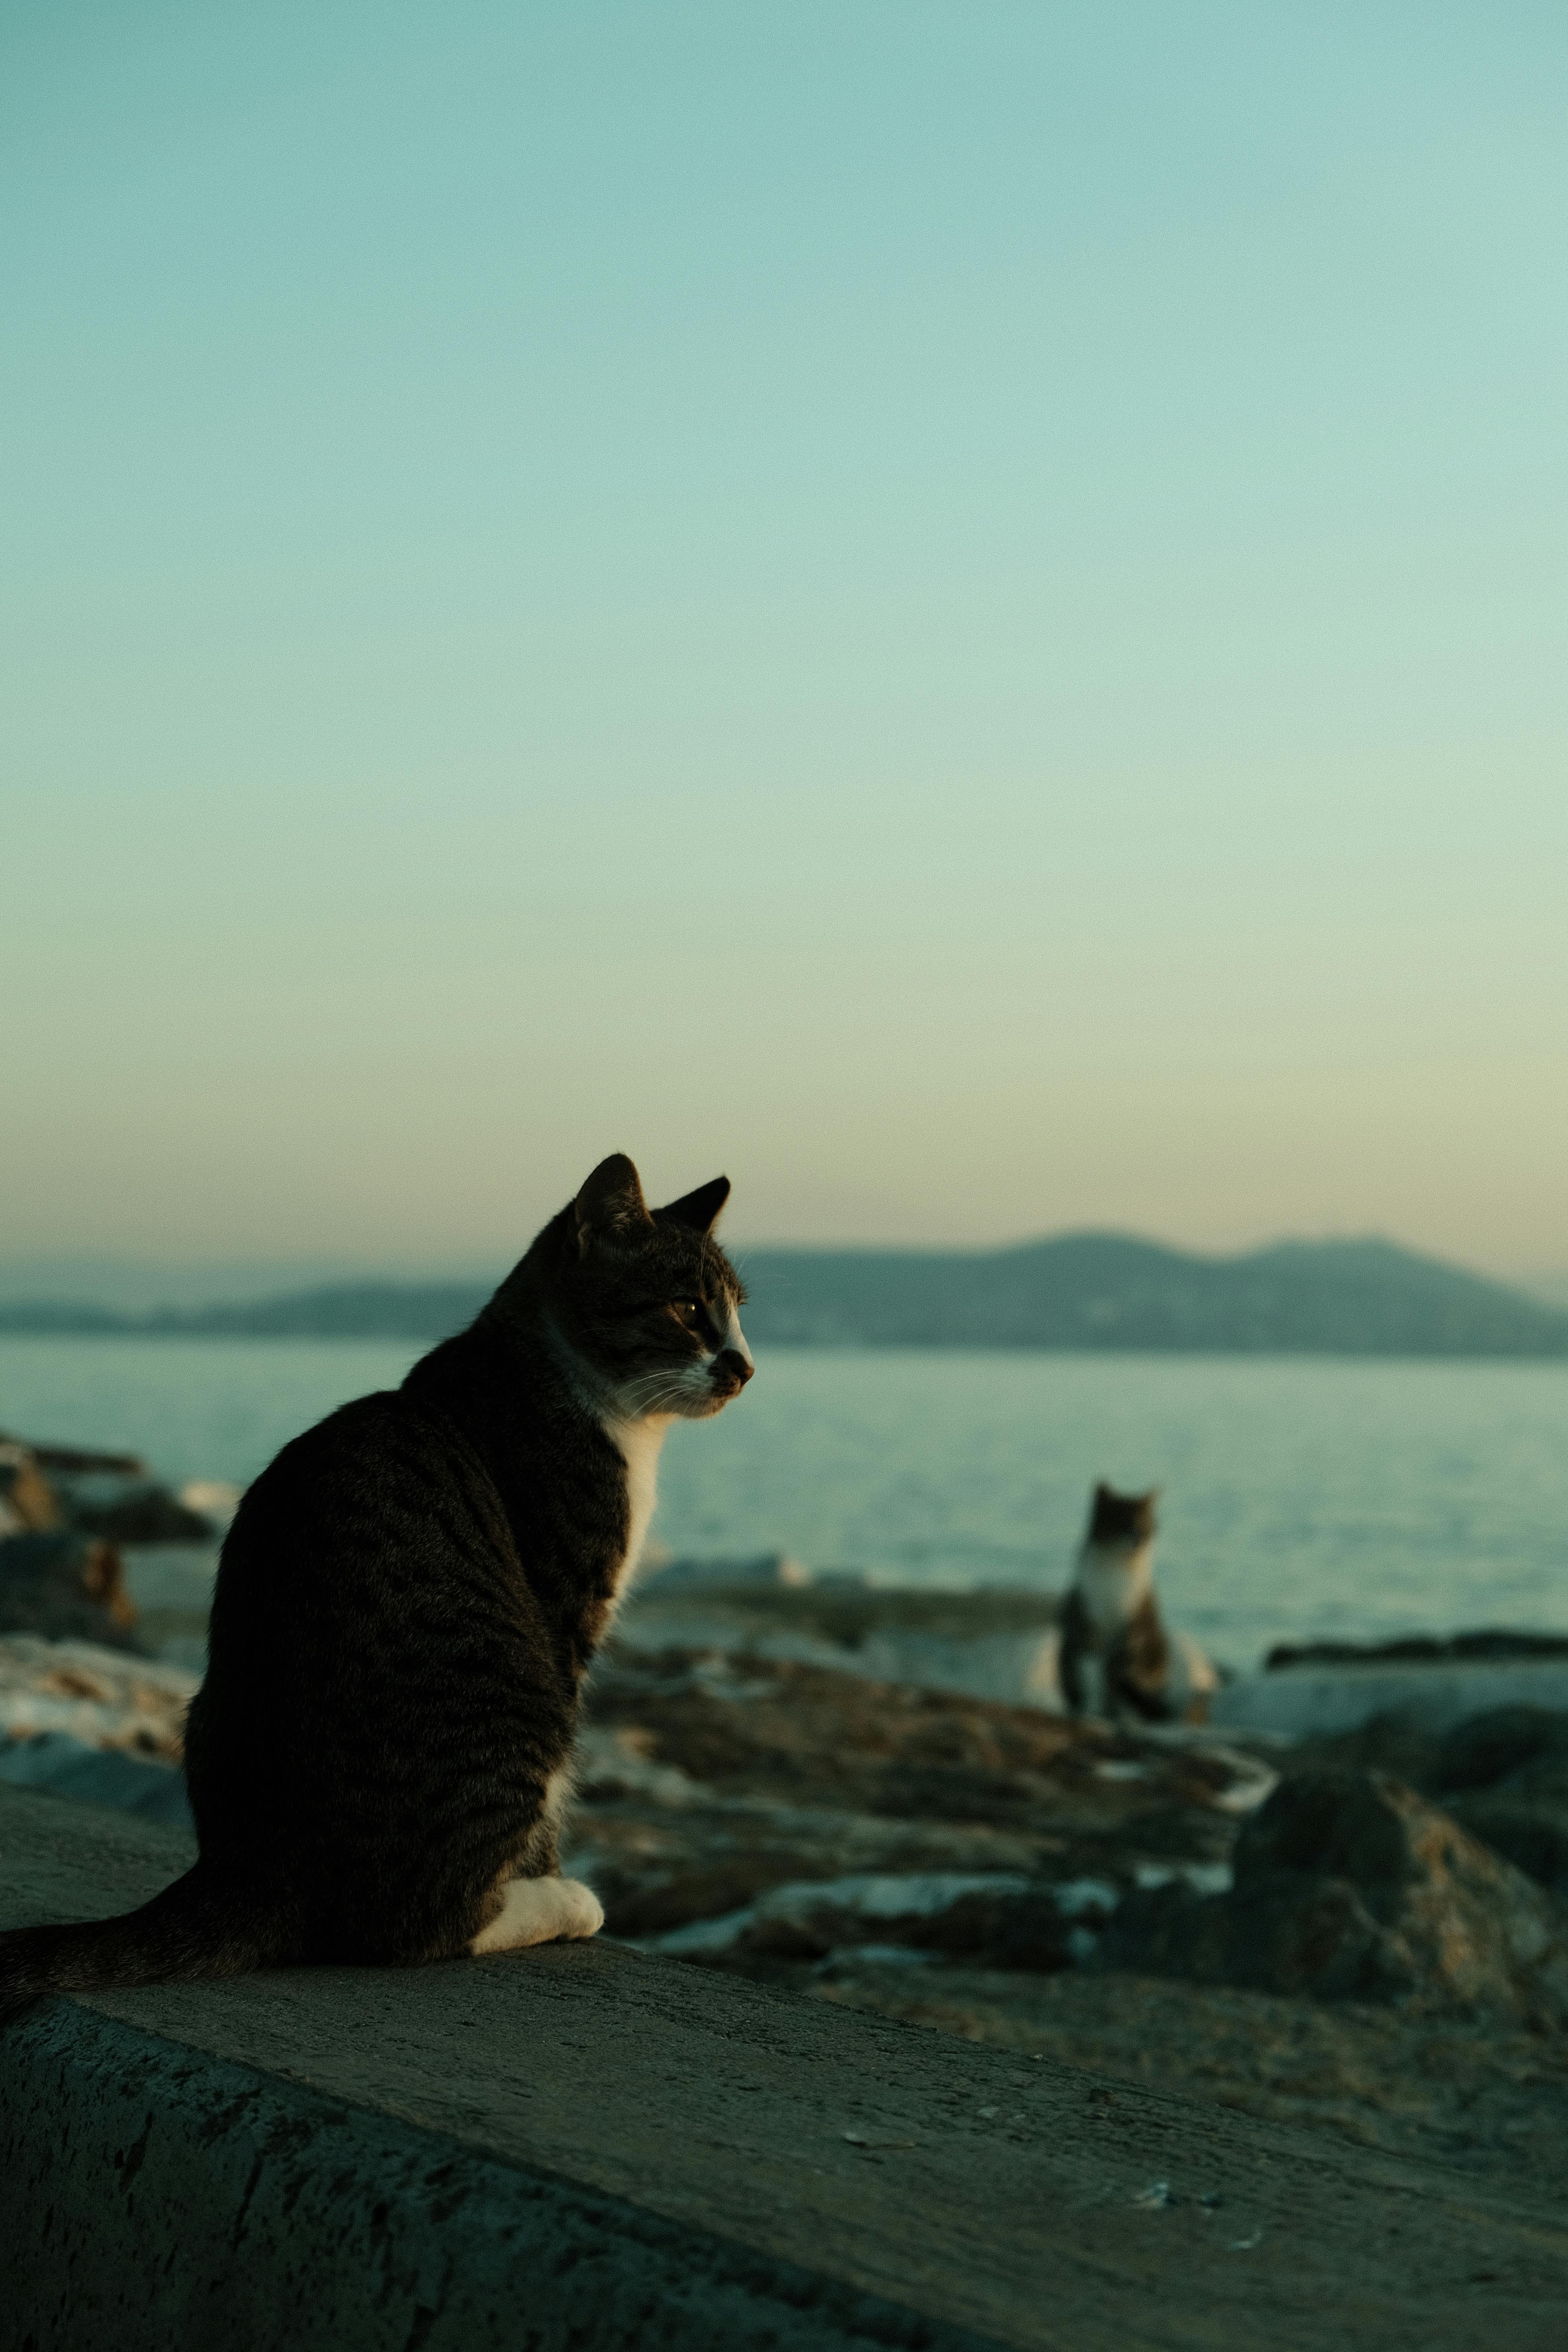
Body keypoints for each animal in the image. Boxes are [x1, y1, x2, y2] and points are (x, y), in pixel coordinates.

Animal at [0, 1152, 752, 2023]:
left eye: (738, 1311)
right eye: (687, 1308)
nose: (743, 1366)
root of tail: (258, 1864)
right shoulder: (566, 1613)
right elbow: (546, 1820)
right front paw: (553, 1876)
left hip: (203, 1707)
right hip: (521, 1700)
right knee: (411, 1926)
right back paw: (559, 1903)